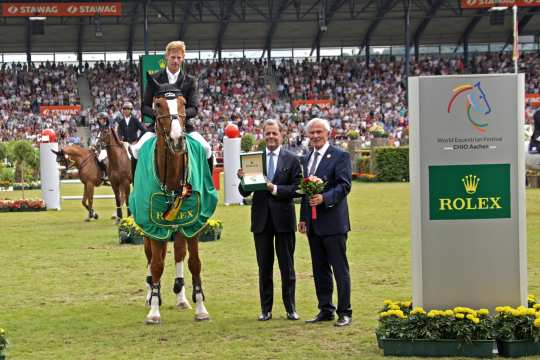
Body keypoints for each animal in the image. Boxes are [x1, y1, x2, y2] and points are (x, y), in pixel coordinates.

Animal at [130, 81, 216, 324]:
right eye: (158, 105)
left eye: (184, 103)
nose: (178, 139)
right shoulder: (153, 225)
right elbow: (157, 264)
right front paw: (154, 311)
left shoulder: (193, 223)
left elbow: (194, 262)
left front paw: (200, 308)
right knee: (151, 258)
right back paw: (151, 294)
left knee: (178, 252)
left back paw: (181, 296)